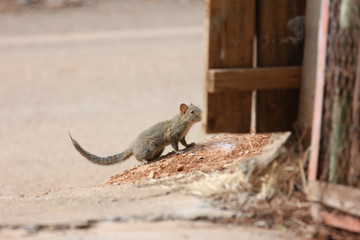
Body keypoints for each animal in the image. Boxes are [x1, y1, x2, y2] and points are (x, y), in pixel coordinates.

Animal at [69, 103, 201, 165]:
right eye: (192, 111)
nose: (201, 116)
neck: (185, 123)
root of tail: (132, 146)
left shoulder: (182, 136)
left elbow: (184, 142)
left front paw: (189, 145)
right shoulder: (174, 134)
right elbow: (175, 145)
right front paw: (179, 151)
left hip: (159, 149)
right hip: (149, 147)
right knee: (137, 156)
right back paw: (143, 161)